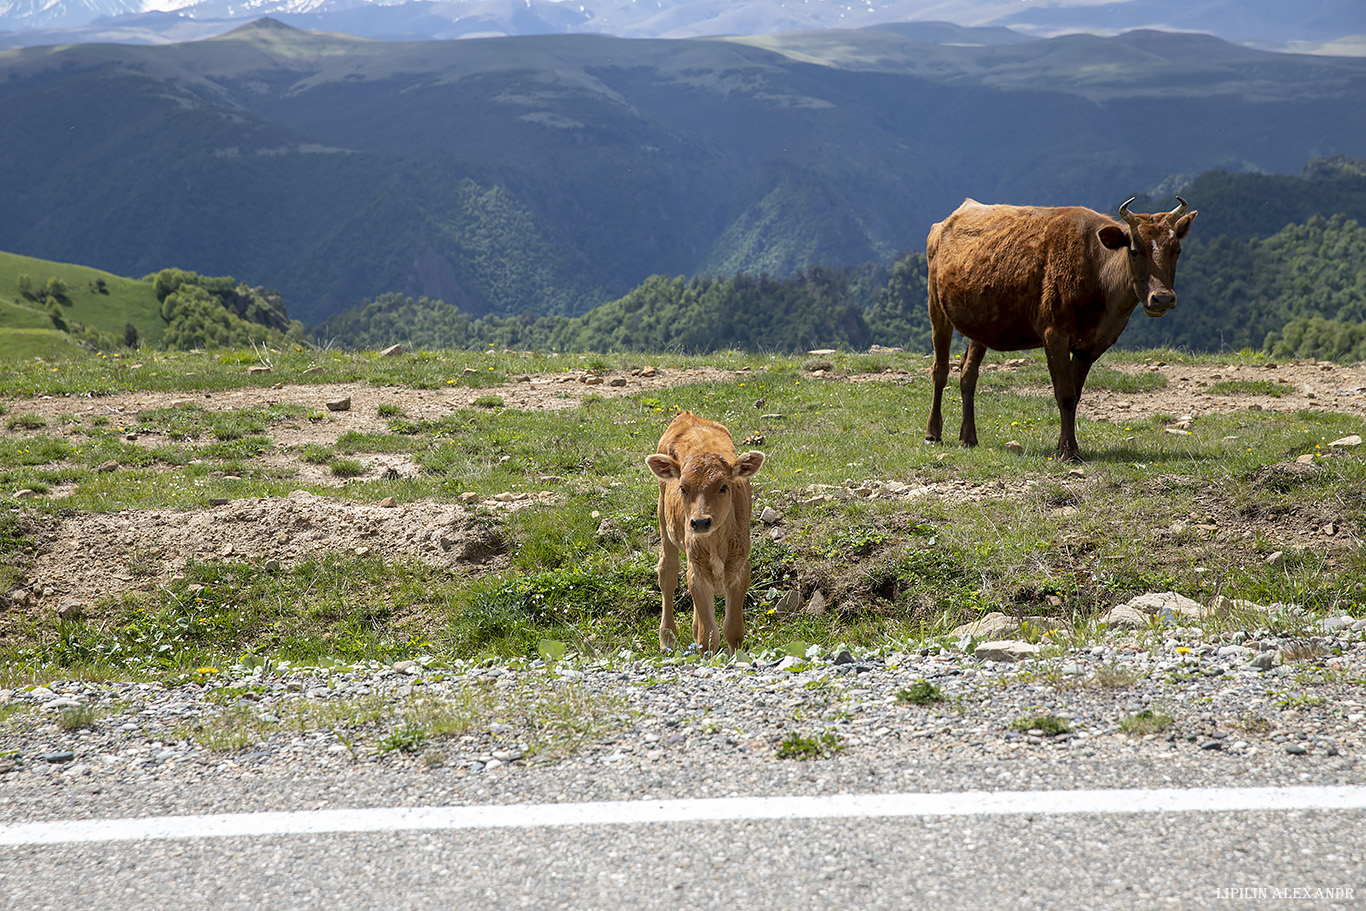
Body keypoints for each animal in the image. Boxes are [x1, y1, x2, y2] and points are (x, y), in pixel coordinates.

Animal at [644, 412, 764, 655]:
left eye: (724, 486)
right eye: (683, 487)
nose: (700, 522)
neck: (716, 543)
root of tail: (687, 415)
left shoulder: (741, 569)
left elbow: (733, 630)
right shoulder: (697, 574)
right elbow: (708, 637)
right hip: (663, 517)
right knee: (667, 573)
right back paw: (667, 640)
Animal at [923, 195, 1202, 458]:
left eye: (1176, 249)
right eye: (1134, 250)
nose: (1162, 298)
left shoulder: (1092, 344)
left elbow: (1076, 394)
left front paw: (1061, 446)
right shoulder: (1054, 333)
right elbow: (1065, 393)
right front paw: (1069, 452)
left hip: (981, 326)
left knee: (968, 373)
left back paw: (968, 437)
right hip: (936, 308)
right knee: (940, 370)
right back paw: (933, 433)